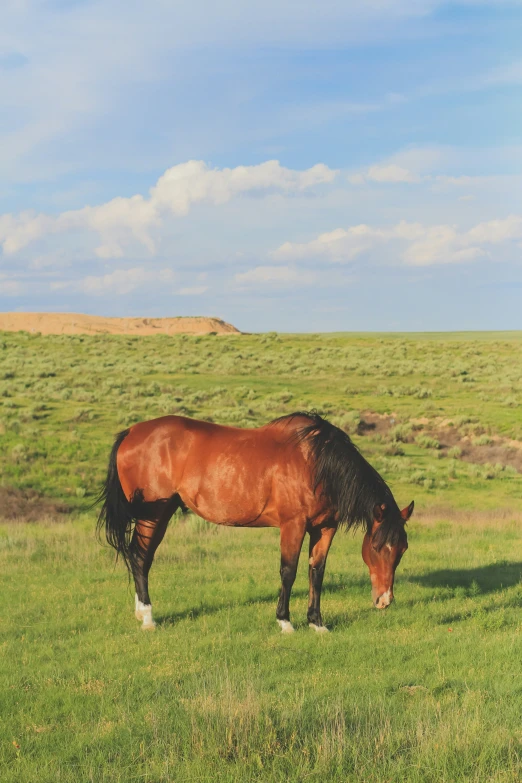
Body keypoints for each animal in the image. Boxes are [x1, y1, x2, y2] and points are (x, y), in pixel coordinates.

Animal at [96, 414, 414, 632]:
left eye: (402, 550)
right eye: (377, 547)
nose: (385, 600)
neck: (316, 462)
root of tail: (132, 432)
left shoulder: (325, 528)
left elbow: (317, 572)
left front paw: (317, 622)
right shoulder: (293, 525)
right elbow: (288, 572)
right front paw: (285, 622)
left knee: (141, 557)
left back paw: (141, 612)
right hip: (153, 514)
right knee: (140, 557)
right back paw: (148, 617)